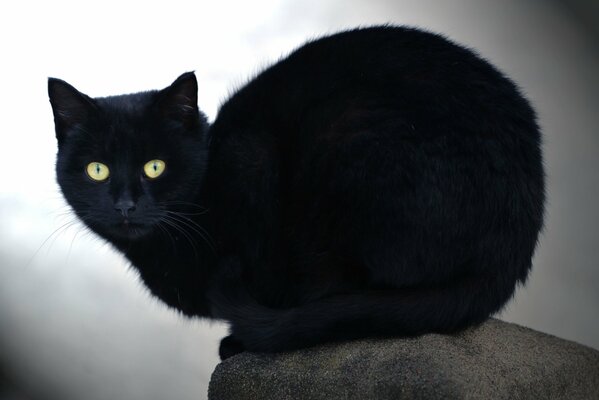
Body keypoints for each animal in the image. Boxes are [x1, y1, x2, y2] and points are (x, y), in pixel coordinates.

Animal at [49, 27, 548, 360]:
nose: (125, 205)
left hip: (342, 133)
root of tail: (513, 247)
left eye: (155, 166)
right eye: (98, 170)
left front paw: (240, 339)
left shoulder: (252, 159)